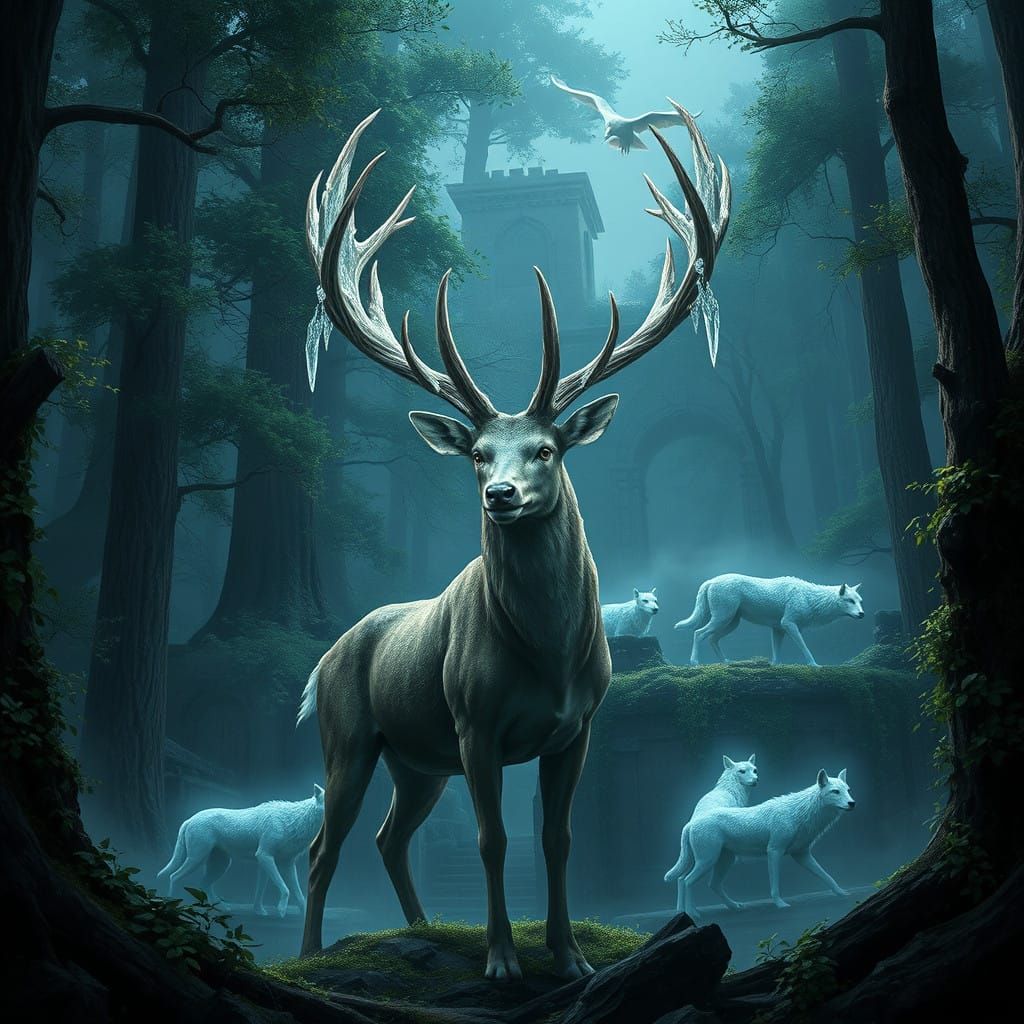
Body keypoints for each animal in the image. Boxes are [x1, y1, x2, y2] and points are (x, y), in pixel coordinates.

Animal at [296, 103, 730, 981]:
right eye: (476, 455)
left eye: (546, 451)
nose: (500, 497)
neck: (548, 656)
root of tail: (325, 657)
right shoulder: (475, 725)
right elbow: (495, 840)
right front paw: (501, 959)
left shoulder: (580, 726)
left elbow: (557, 839)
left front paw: (569, 956)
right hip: (349, 737)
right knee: (328, 846)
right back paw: (314, 952)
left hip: (415, 759)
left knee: (390, 838)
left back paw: (425, 931)